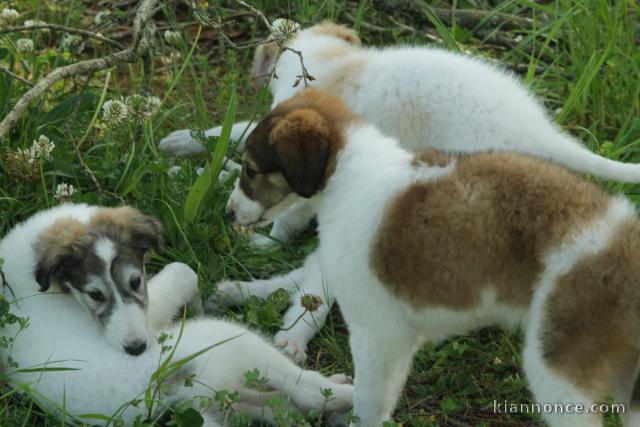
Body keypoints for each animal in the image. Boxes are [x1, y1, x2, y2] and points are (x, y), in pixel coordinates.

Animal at [0, 205, 350, 427]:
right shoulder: (150, 313)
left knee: (275, 403)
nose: (138, 349)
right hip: (231, 340)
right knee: (305, 390)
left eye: (134, 281)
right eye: (95, 295)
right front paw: (198, 303)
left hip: (224, 395)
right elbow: (184, 271)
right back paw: (346, 394)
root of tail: (165, 390)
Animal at [225, 89, 640, 427]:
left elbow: (369, 401)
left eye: (250, 170)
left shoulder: (377, 332)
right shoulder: (396, 337)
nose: (228, 215)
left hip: (559, 368)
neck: (352, 171)